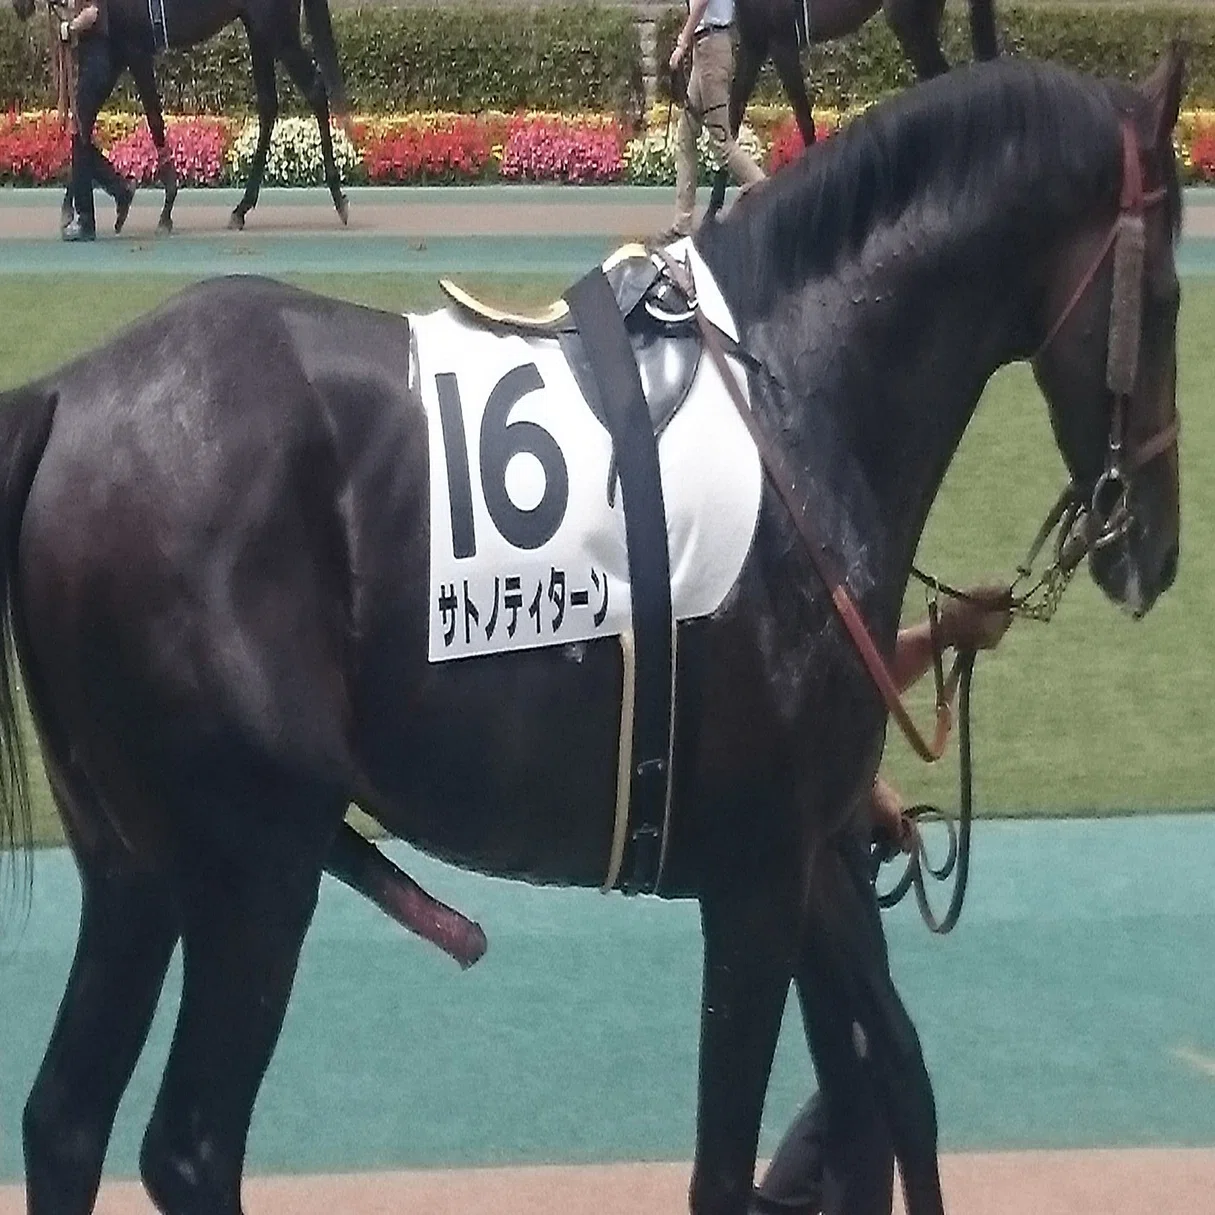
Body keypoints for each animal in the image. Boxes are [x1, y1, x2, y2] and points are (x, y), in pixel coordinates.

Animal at [0, 47, 1183, 1215]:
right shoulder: (756, 871)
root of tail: (66, 393)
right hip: (261, 857)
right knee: (189, 1146)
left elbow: (888, 1081)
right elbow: (731, 1162)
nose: (1157, 549)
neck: (797, 400)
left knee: (65, 1121)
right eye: (1171, 294)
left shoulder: (814, 849)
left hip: (135, 862)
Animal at [10, 0, 349, 233]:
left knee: (316, 91)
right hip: (258, 29)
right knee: (269, 106)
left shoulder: (134, 51)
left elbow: (153, 121)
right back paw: (241, 208)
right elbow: (82, 121)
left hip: (277, 29)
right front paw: (81, 209)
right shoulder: (111, 52)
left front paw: (166, 208)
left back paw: (337, 197)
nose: (19, 7)